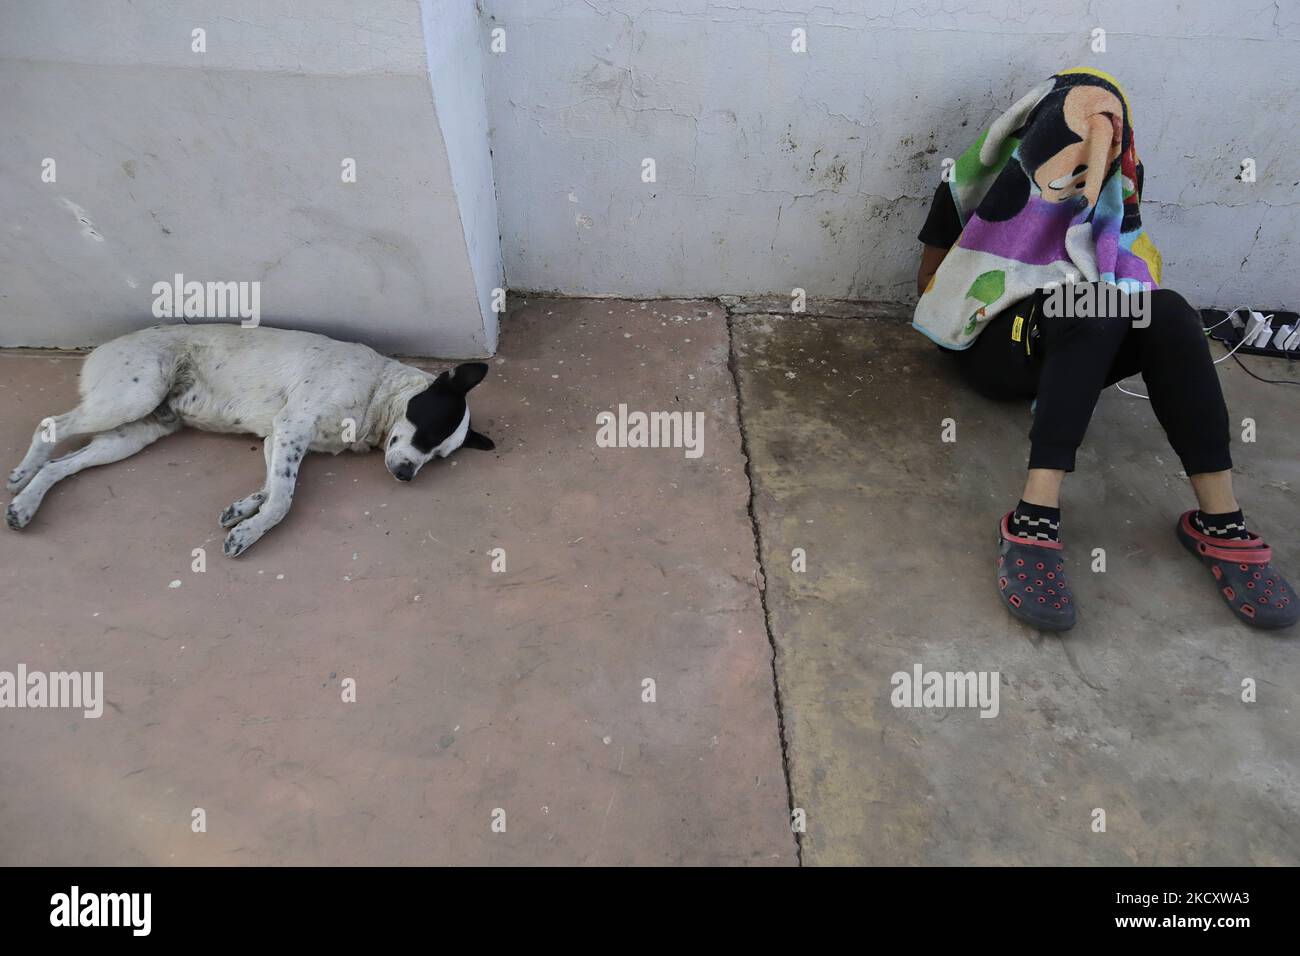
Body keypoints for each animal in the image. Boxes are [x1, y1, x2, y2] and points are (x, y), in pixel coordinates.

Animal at [3, 325, 491, 556]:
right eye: (428, 432)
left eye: (439, 455)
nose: (407, 475)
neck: (375, 390)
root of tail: (100, 348)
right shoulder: (293, 426)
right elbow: (282, 500)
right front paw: (250, 532)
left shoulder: (280, 436)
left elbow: (272, 485)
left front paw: (242, 511)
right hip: (131, 396)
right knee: (49, 425)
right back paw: (22, 474)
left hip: (134, 432)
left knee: (60, 465)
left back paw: (25, 504)